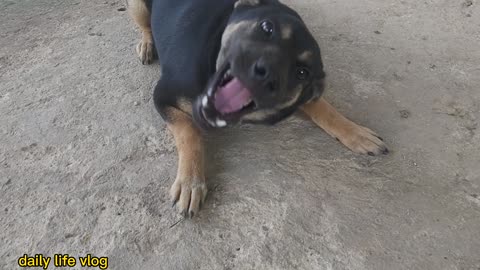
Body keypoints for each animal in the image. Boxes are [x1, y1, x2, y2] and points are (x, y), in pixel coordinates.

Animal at [126, 0, 390, 217]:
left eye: (302, 72)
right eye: (266, 27)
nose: (265, 75)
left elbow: (321, 105)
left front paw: (355, 132)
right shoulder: (162, 95)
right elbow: (189, 130)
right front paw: (191, 181)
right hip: (137, 5)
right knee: (145, 25)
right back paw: (147, 44)